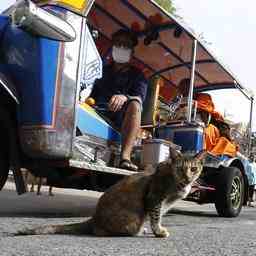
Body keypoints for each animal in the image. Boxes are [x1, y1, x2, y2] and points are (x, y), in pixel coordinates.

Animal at [16, 148, 205, 238]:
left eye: (194, 169)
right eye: (180, 169)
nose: (188, 178)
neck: (177, 183)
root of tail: (93, 218)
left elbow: (156, 216)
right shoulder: (155, 198)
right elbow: (156, 216)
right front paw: (158, 231)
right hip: (131, 220)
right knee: (101, 232)